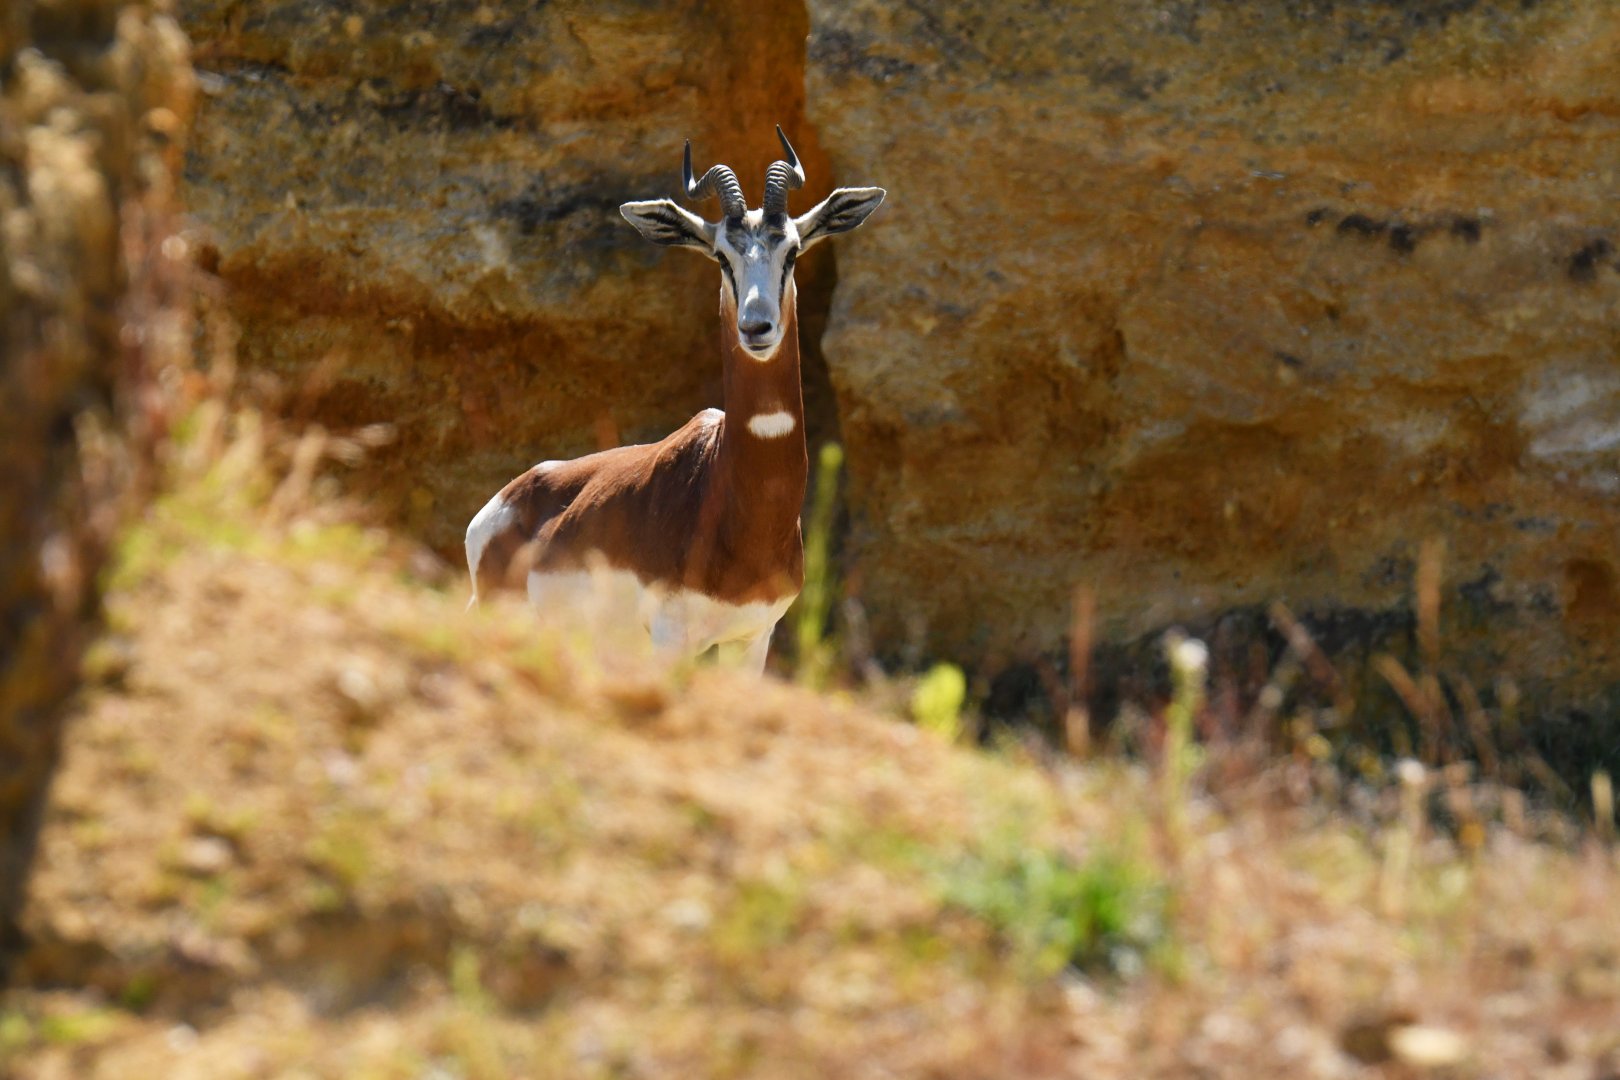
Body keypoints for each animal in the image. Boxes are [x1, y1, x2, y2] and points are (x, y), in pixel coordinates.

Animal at [464, 128, 884, 673]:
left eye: (792, 250)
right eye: (722, 255)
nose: (756, 328)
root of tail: (501, 503)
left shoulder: (752, 638)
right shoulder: (670, 639)